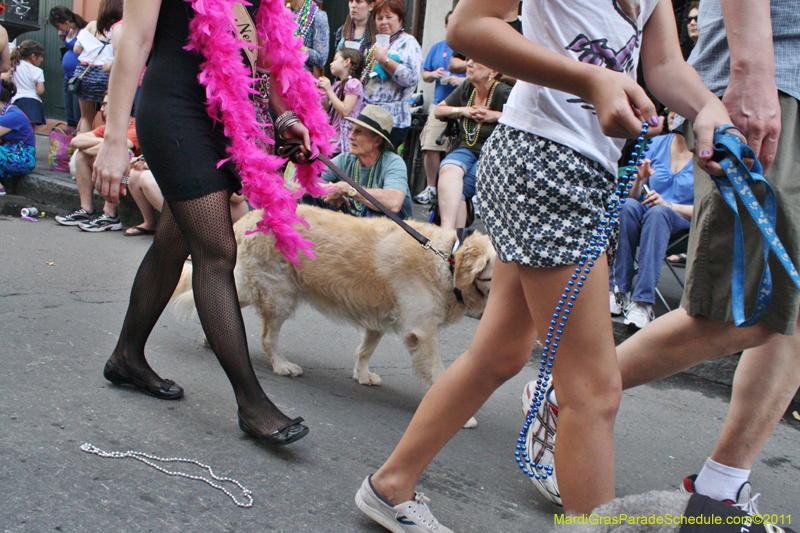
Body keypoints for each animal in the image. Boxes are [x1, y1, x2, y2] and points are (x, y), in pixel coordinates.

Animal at [171, 206, 490, 426]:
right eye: (494, 277)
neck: (447, 260)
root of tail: (247, 216)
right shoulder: (422, 333)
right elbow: (438, 372)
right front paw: (457, 415)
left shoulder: (380, 317)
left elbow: (365, 349)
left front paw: (362, 374)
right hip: (278, 294)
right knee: (265, 335)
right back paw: (281, 365)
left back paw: (210, 338)